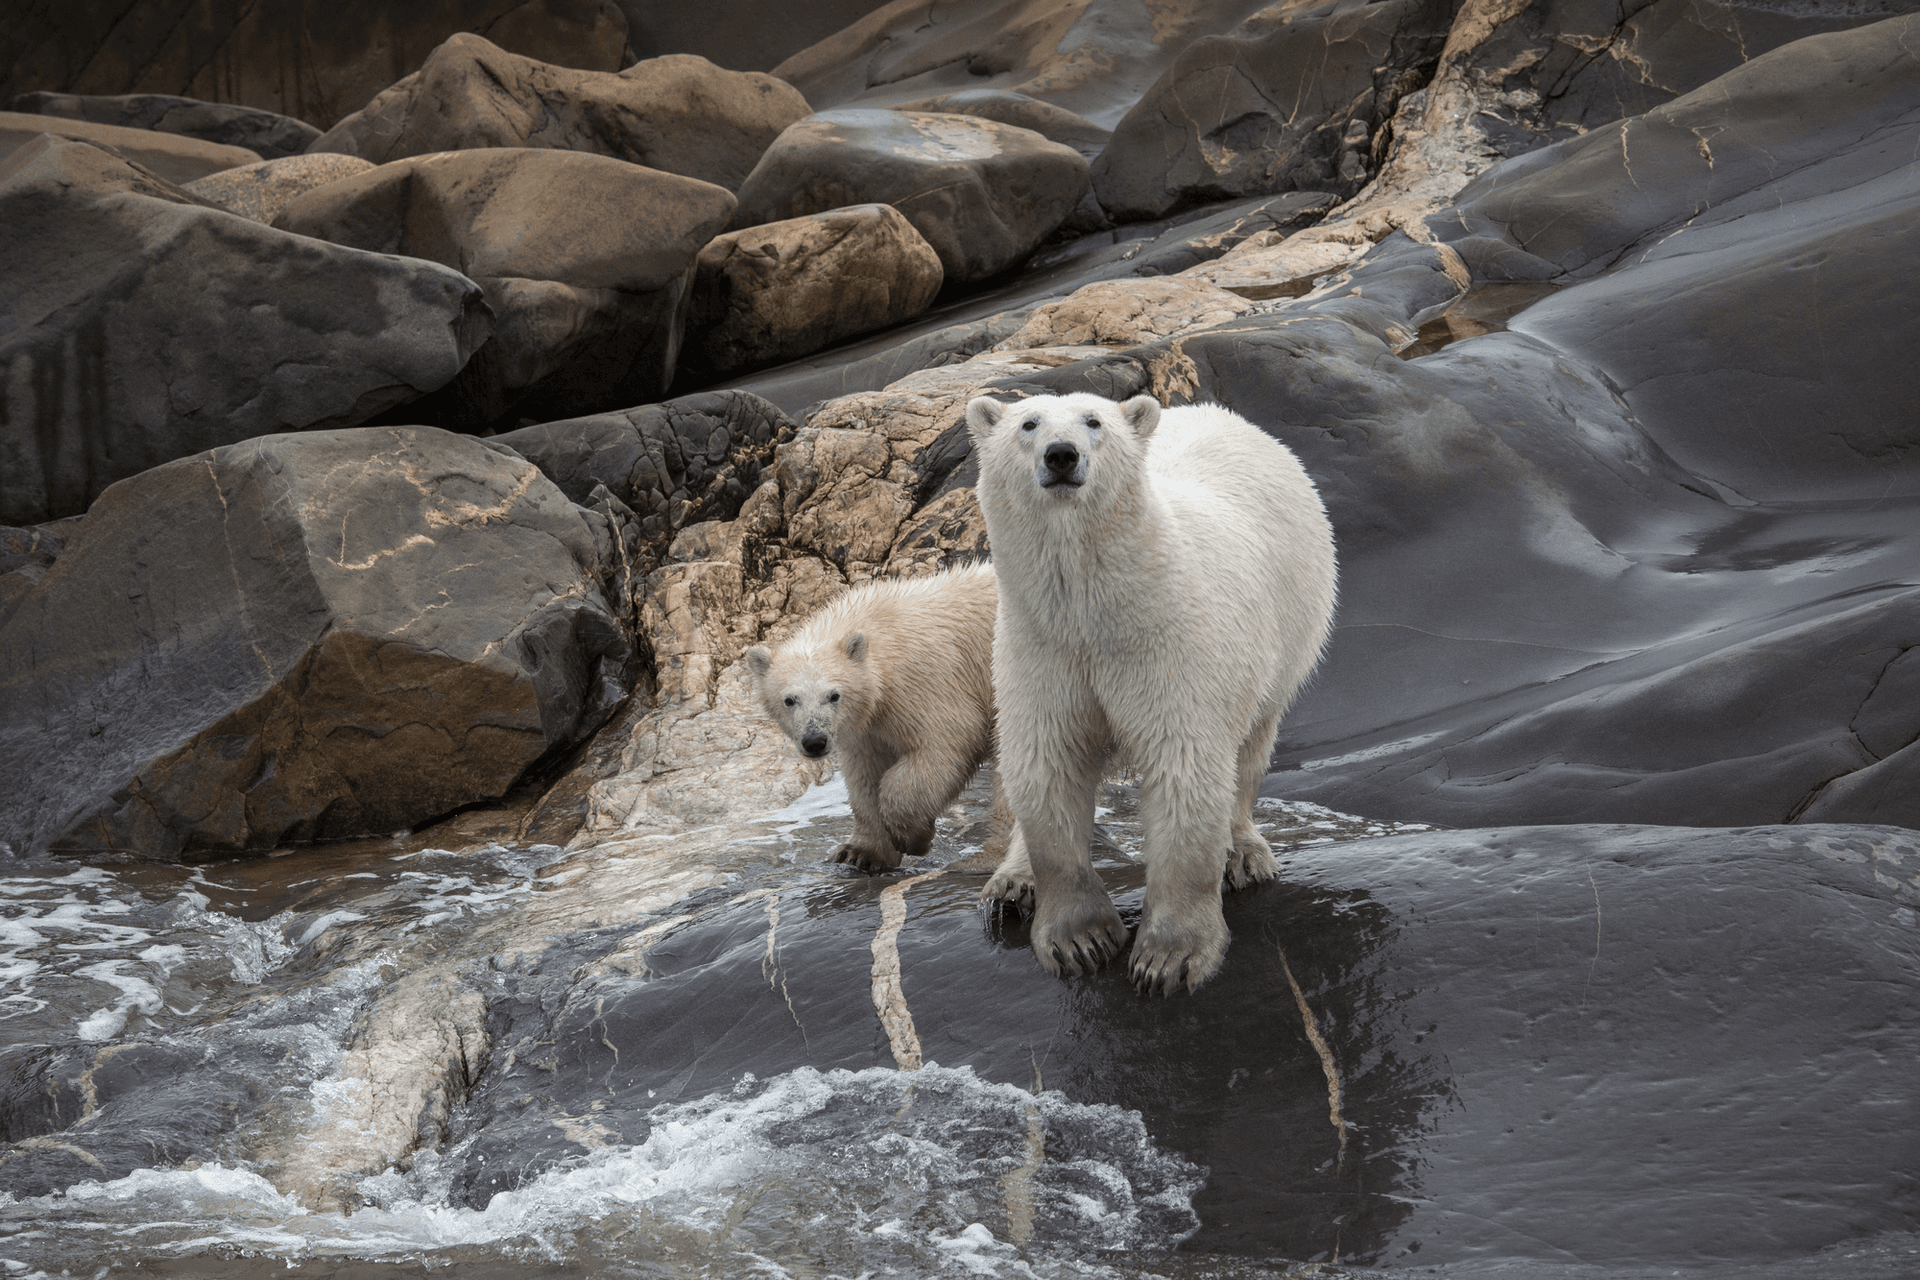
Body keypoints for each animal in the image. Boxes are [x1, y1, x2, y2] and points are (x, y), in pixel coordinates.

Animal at [967, 395, 1328, 997]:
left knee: (1251, 747)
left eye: (1093, 422)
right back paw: (1011, 884)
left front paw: (1169, 957)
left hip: (1289, 624)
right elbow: (1047, 765)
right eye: (1028, 423)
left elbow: (1184, 768)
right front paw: (1079, 939)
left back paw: (1243, 854)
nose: (1061, 455)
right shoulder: (1042, 648)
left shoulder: (1166, 646)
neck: (1094, 611)